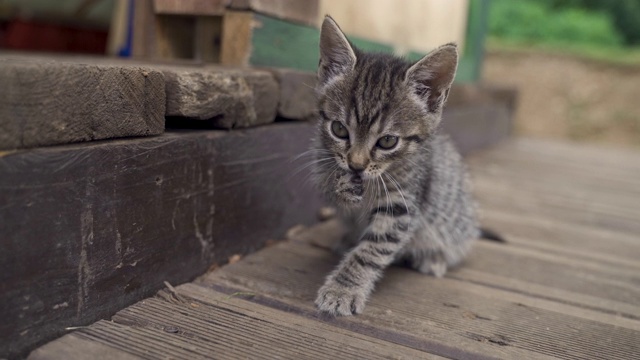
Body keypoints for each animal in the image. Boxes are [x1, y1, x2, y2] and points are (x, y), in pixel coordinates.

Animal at [310, 16, 480, 316]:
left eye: (388, 141)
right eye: (339, 129)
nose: (356, 165)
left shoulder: (402, 205)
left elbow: (370, 252)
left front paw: (343, 289)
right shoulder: (320, 161)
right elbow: (331, 188)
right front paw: (341, 185)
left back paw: (435, 258)